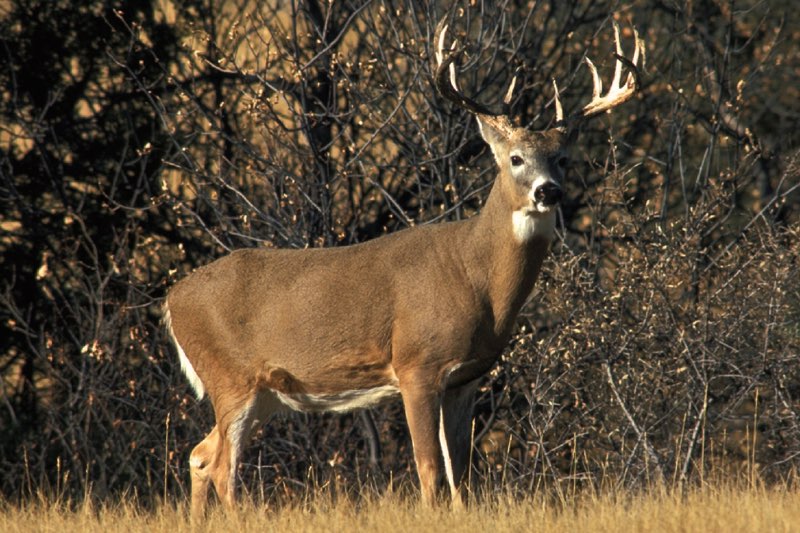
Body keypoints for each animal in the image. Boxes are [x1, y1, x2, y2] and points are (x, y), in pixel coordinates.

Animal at [162, 15, 644, 516]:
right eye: (515, 158)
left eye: (563, 159)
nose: (548, 190)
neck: (475, 277)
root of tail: (172, 300)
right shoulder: (417, 364)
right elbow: (428, 467)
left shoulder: (467, 378)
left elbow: (462, 472)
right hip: (230, 376)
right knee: (222, 464)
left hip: (262, 393)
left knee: (200, 453)